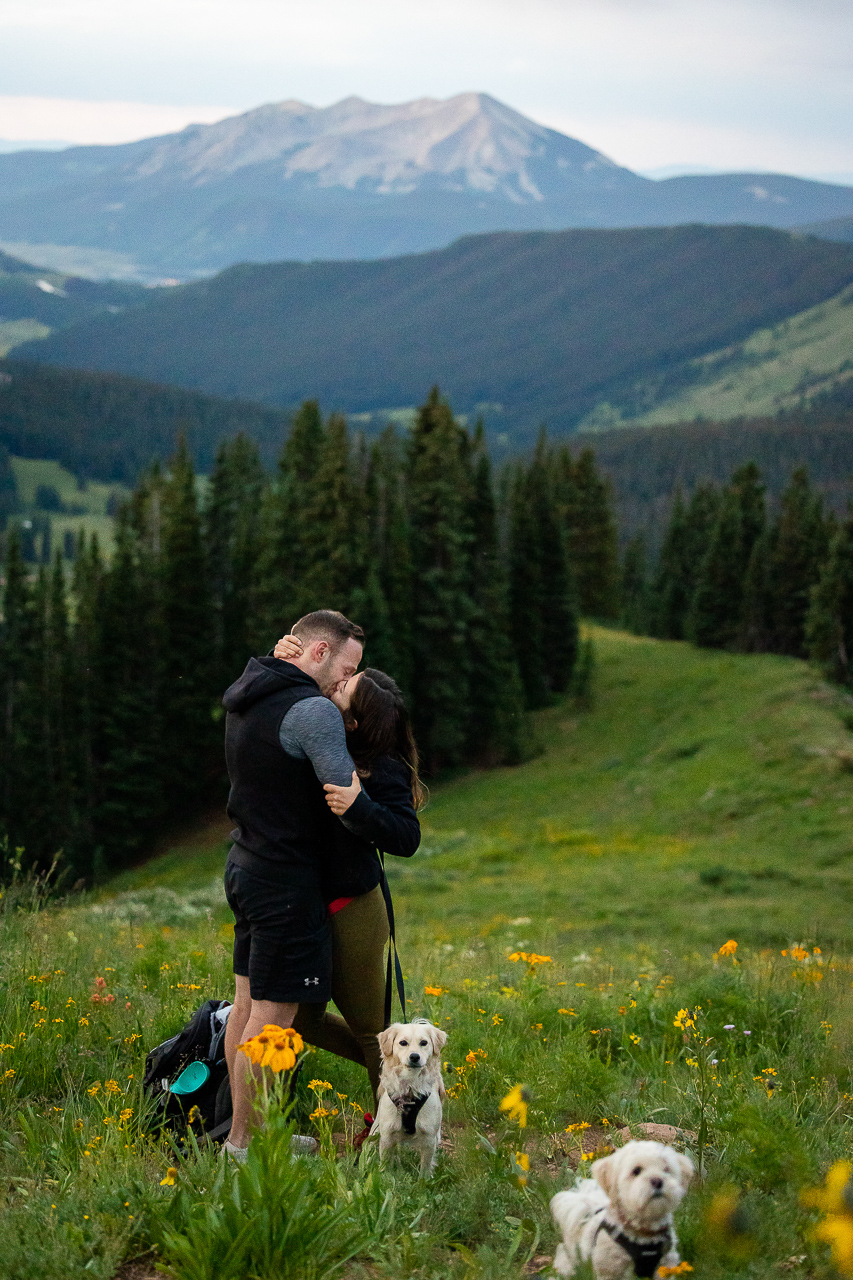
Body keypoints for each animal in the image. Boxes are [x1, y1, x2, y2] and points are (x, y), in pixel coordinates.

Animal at [373, 1013, 450, 1172]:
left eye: (424, 1043)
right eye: (403, 1043)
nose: (414, 1056)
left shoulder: (429, 1139)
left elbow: (425, 1170)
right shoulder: (387, 1135)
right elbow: (384, 1166)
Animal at [550, 1141, 691, 1280]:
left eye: (666, 1169)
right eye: (636, 1171)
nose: (657, 1181)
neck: (644, 1233)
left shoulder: (665, 1266)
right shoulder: (610, 1270)